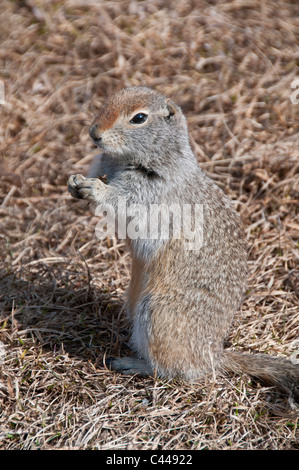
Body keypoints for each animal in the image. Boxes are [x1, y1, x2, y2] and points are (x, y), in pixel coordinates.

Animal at [68, 85, 299, 400]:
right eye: (108, 100)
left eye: (139, 118)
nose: (94, 133)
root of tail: (212, 354)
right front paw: (74, 182)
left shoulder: (152, 196)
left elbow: (127, 207)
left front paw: (95, 188)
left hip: (157, 314)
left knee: (175, 371)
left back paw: (132, 364)